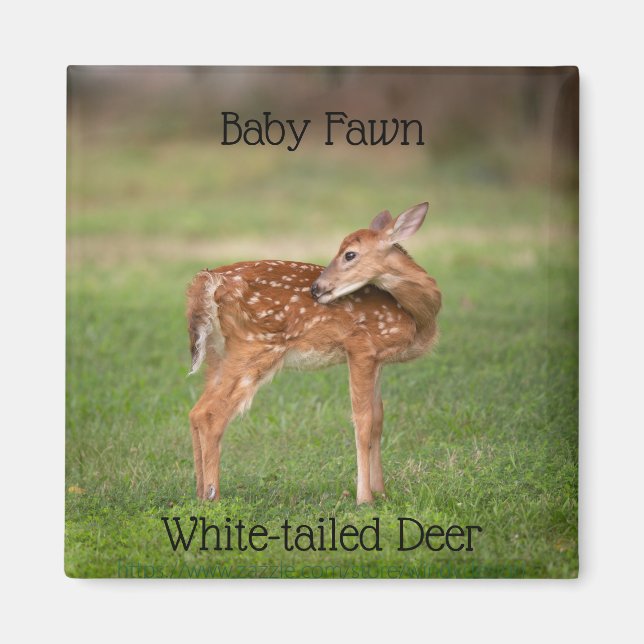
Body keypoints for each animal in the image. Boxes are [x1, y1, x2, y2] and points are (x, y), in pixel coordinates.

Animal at [186, 202, 441, 505]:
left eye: (350, 254)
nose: (316, 288)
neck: (415, 316)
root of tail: (207, 281)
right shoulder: (360, 346)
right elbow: (363, 421)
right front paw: (364, 498)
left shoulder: (378, 359)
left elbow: (378, 419)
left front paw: (381, 491)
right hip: (255, 346)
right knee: (212, 415)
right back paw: (213, 495)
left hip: (218, 353)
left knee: (196, 411)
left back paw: (199, 492)